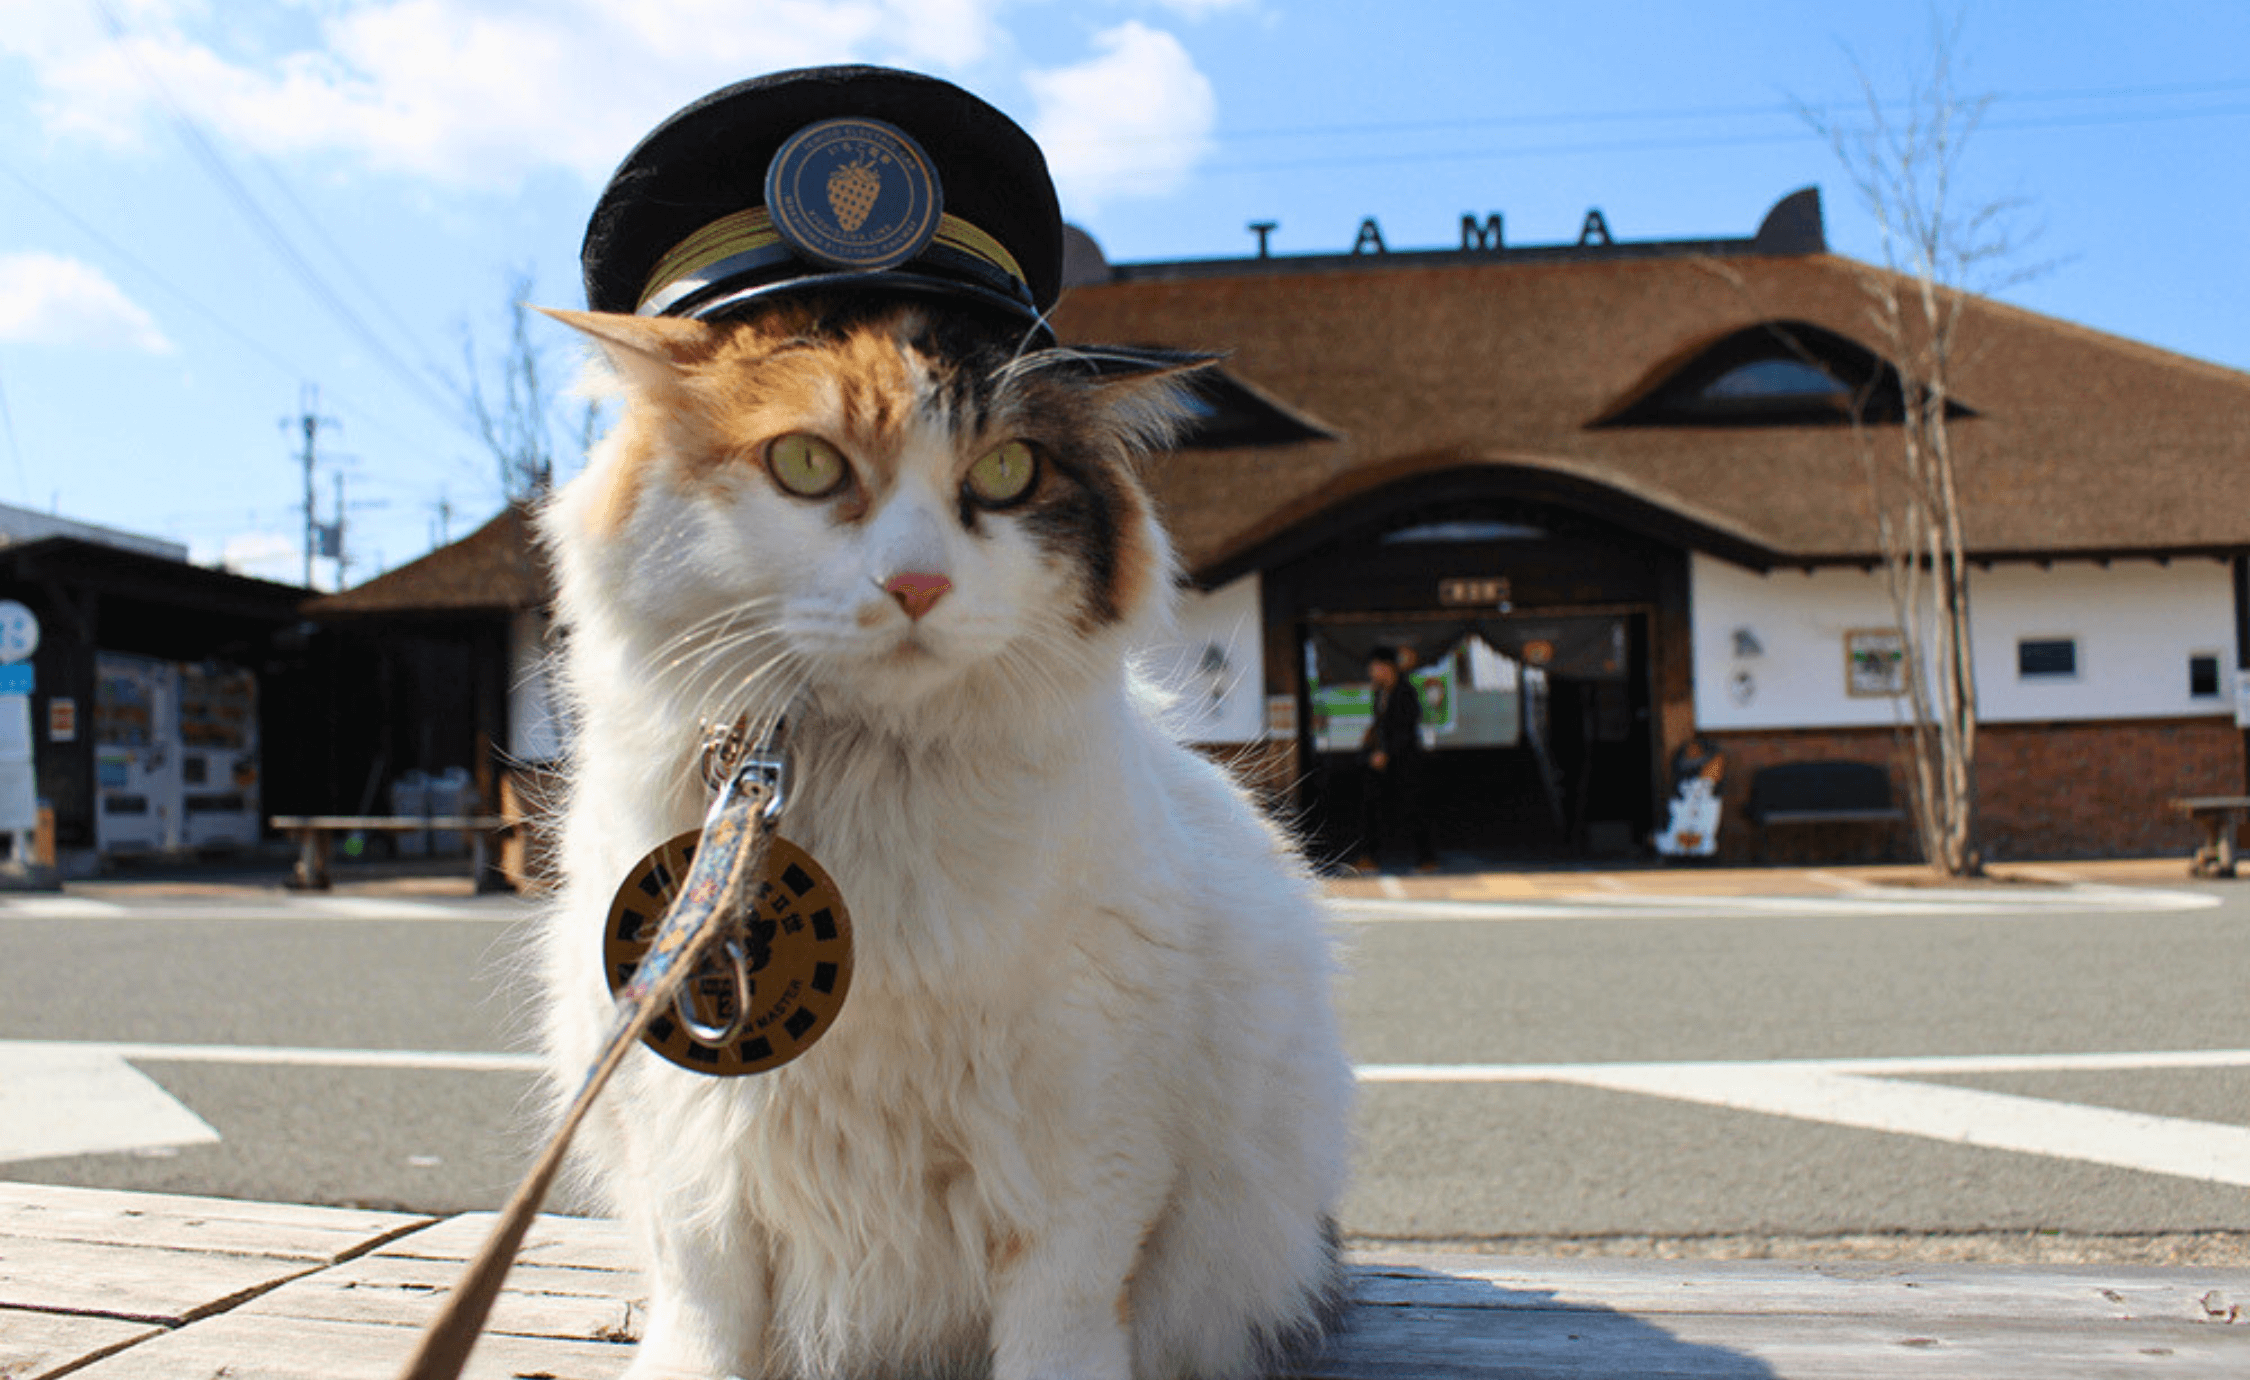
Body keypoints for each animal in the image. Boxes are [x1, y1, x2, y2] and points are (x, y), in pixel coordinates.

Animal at [540, 292, 1350, 1377]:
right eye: (808, 462)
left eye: (1007, 474)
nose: (917, 585)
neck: (860, 786)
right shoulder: (682, 1133)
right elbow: (704, 1312)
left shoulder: (1088, 1140)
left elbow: (1058, 1327)